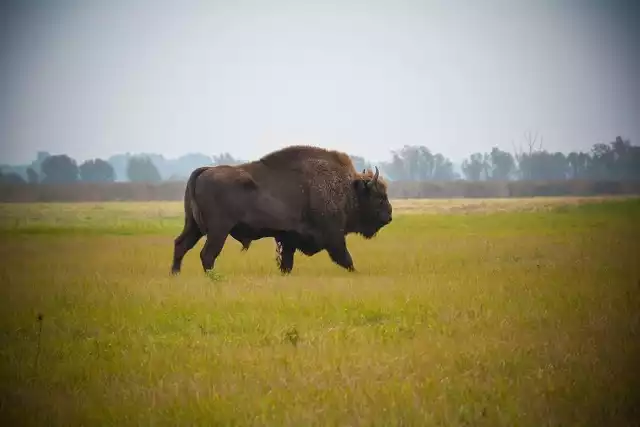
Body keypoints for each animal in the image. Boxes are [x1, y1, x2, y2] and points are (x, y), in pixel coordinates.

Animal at [170, 145, 392, 276]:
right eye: (379, 197)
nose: (389, 216)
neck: (348, 188)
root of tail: (204, 170)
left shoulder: (288, 238)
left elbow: (287, 262)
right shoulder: (333, 235)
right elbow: (345, 258)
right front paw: (356, 272)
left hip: (193, 226)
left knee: (181, 245)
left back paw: (176, 274)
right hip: (218, 230)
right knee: (207, 254)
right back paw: (212, 278)